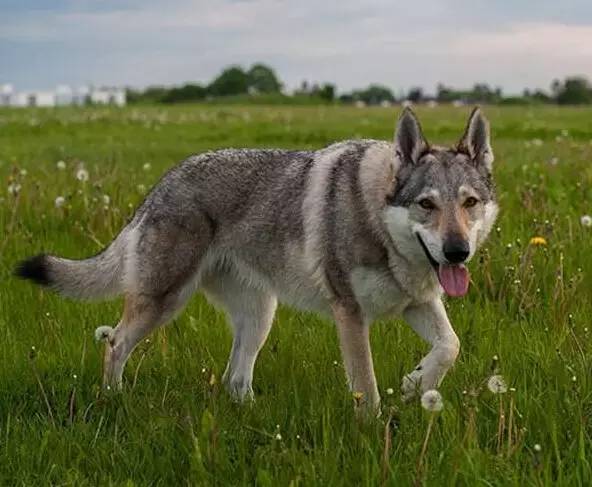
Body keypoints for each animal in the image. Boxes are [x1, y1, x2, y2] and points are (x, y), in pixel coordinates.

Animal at [16, 107, 498, 416]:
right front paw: (374, 429)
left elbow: (450, 346)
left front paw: (417, 384)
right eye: (426, 205)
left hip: (259, 317)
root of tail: (162, 184)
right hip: (164, 303)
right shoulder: (351, 314)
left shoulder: (416, 302)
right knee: (115, 343)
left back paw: (255, 416)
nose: (458, 252)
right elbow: (367, 387)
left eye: (469, 203)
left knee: (234, 379)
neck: (379, 224)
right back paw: (113, 399)